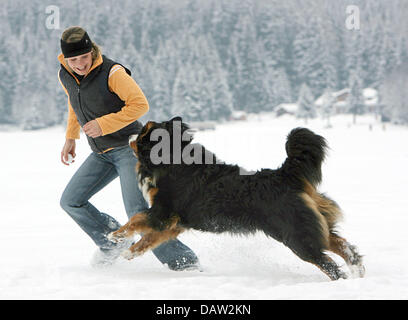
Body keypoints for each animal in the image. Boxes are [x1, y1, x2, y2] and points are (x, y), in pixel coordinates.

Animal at [107, 117, 364, 280]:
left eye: (144, 133)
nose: (129, 131)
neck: (170, 161)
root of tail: (283, 175)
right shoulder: (174, 223)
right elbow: (149, 238)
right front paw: (130, 251)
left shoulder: (163, 213)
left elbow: (137, 219)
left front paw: (115, 235)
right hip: (310, 227)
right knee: (343, 246)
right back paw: (358, 269)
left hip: (297, 237)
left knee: (329, 265)